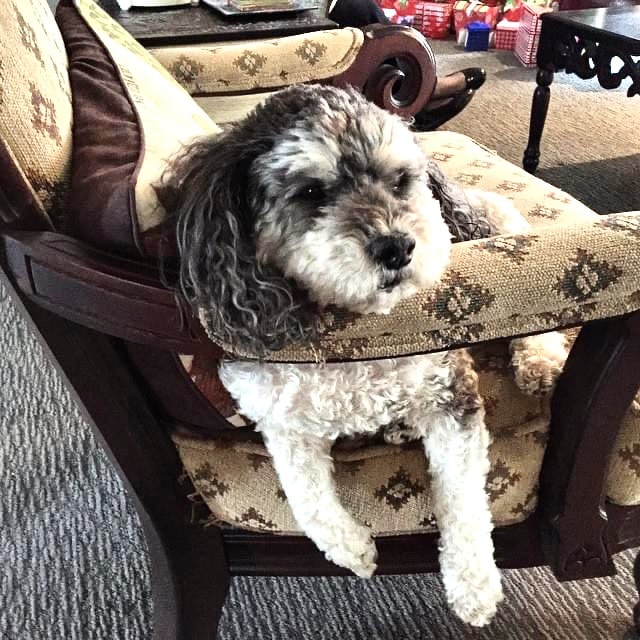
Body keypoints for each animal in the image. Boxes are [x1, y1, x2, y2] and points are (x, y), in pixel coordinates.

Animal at [164, 84, 564, 624]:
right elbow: (304, 494)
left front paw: (475, 587)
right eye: (311, 192)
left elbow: (463, 501)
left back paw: (538, 361)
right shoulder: (280, 423)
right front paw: (353, 548)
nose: (397, 247)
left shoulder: (451, 392)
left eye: (400, 180)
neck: (356, 334)